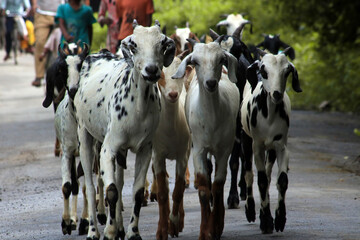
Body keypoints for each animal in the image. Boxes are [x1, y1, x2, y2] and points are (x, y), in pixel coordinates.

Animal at [74, 21, 175, 240]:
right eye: (134, 45)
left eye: (162, 43)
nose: (151, 70)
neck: (137, 108)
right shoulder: (108, 149)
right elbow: (111, 190)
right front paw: (109, 232)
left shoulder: (145, 149)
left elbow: (136, 193)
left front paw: (132, 232)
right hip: (84, 136)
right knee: (91, 186)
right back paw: (93, 230)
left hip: (121, 151)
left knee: (120, 183)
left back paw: (120, 228)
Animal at [172, 39, 239, 240]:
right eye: (196, 61)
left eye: (220, 60)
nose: (210, 83)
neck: (211, 120)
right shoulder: (199, 148)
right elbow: (203, 189)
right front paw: (205, 231)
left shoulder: (224, 149)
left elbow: (217, 186)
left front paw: (216, 227)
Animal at [240, 47, 302, 233]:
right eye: (264, 71)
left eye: (287, 71)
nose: (276, 94)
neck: (269, 115)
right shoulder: (257, 147)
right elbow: (259, 180)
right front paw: (266, 221)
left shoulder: (281, 147)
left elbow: (281, 181)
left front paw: (279, 218)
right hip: (246, 141)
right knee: (249, 174)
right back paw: (251, 209)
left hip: (272, 150)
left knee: (267, 176)